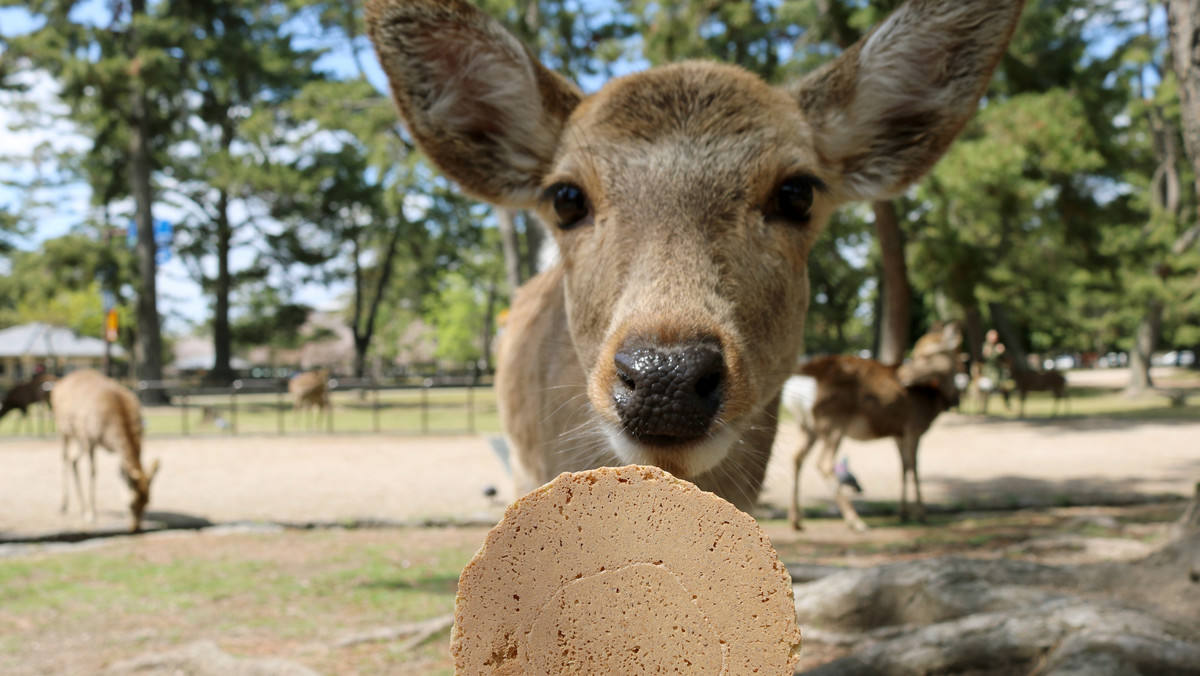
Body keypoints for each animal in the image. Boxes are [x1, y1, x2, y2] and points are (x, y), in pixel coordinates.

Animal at [50, 369, 159, 535]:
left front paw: (87, 510)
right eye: (131, 503)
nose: (135, 528)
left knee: (73, 460)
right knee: (64, 457)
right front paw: (91, 514)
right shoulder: (90, 439)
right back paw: (64, 505)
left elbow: (120, 472)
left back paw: (81, 507)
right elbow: (93, 472)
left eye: (147, 501)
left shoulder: (112, 450)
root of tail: (58, 385)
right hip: (64, 429)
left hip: (79, 438)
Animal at [782, 324, 960, 535]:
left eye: (928, 354)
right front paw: (922, 515)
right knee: (823, 463)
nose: (902, 375)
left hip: (808, 426)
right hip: (832, 421)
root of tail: (802, 379)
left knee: (796, 457)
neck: (932, 401)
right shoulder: (913, 427)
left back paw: (796, 520)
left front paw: (903, 513)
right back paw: (856, 522)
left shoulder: (898, 432)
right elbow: (915, 467)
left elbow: (903, 467)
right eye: (918, 353)